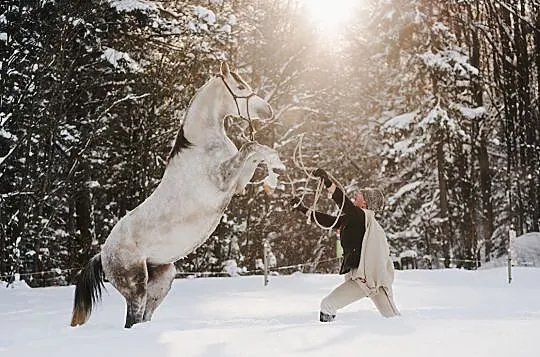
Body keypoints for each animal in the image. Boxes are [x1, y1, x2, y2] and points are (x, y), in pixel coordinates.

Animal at [71, 62, 286, 328]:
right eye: (240, 87)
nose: (268, 110)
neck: (202, 145)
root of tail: (102, 255)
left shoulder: (237, 184)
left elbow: (257, 152)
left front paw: (274, 173)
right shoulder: (223, 180)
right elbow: (251, 146)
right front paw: (276, 167)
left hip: (162, 280)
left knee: (144, 317)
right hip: (136, 286)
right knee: (132, 320)